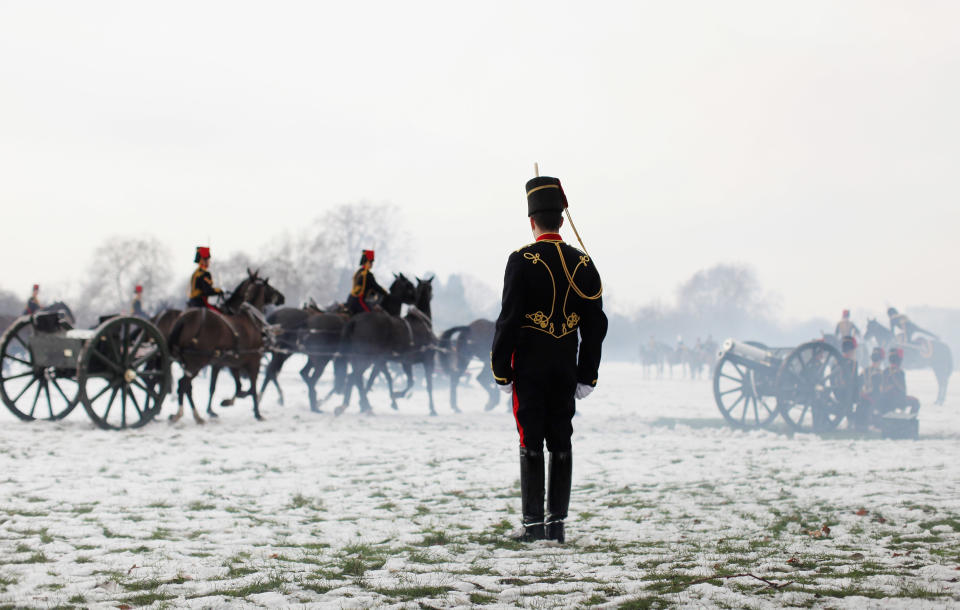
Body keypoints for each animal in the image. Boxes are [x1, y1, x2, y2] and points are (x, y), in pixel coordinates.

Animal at [168, 270, 284, 422]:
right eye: (269, 286)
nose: (282, 297)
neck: (249, 319)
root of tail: (183, 319)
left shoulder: (231, 363)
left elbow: (236, 387)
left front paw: (221, 405)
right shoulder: (253, 362)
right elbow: (251, 388)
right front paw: (257, 413)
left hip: (190, 363)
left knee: (186, 386)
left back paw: (192, 414)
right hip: (196, 363)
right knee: (183, 384)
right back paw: (184, 413)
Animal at [332, 274, 414, 414]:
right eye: (409, 286)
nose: (415, 299)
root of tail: (353, 322)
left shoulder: (381, 360)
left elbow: (380, 377)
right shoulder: (384, 359)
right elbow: (379, 377)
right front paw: (394, 399)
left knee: (351, 376)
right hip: (364, 358)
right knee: (354, 376)